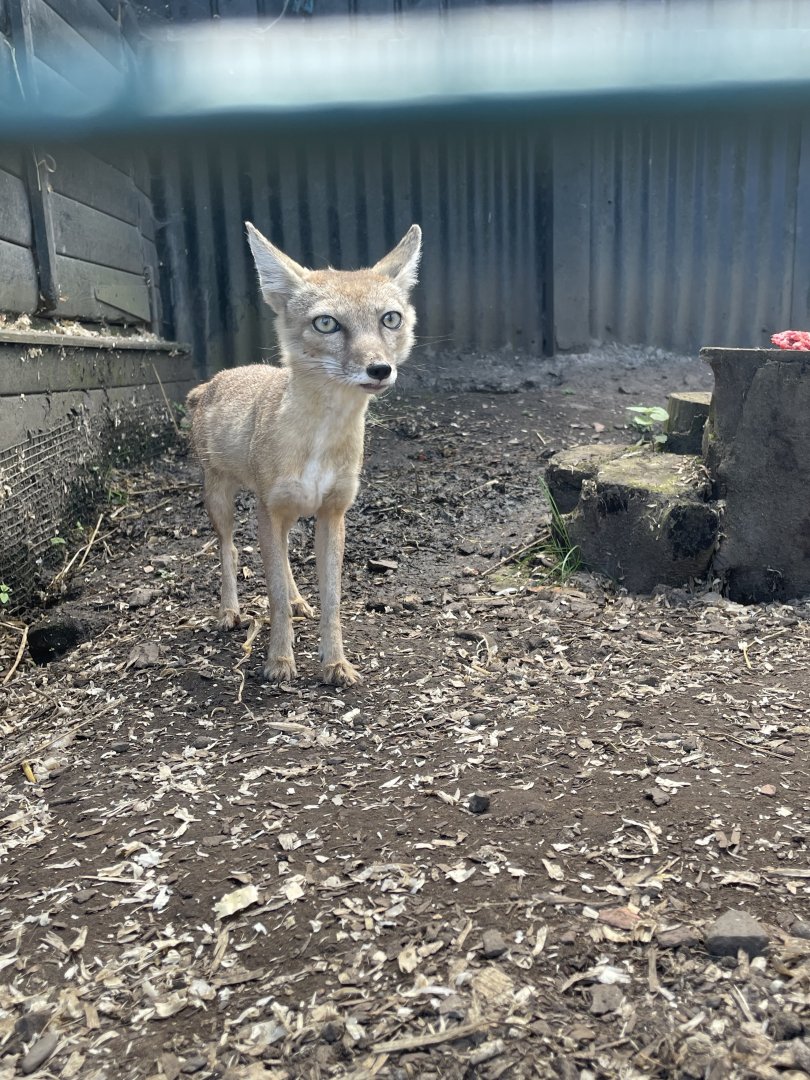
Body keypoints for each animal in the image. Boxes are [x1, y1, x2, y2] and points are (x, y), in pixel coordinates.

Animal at [187, 221, 422, 688]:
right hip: (222, 503)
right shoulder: (270, 510)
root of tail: (216, 380)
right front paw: (279, 659)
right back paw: (229, 610)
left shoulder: (332, 513)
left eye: (390, 318)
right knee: (230, 551)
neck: (319, 441)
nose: (379, 369)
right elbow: (273, 592)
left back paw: (298, 601)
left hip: (290, 512)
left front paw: (335, 663)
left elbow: (331, 598)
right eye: (327, 323)